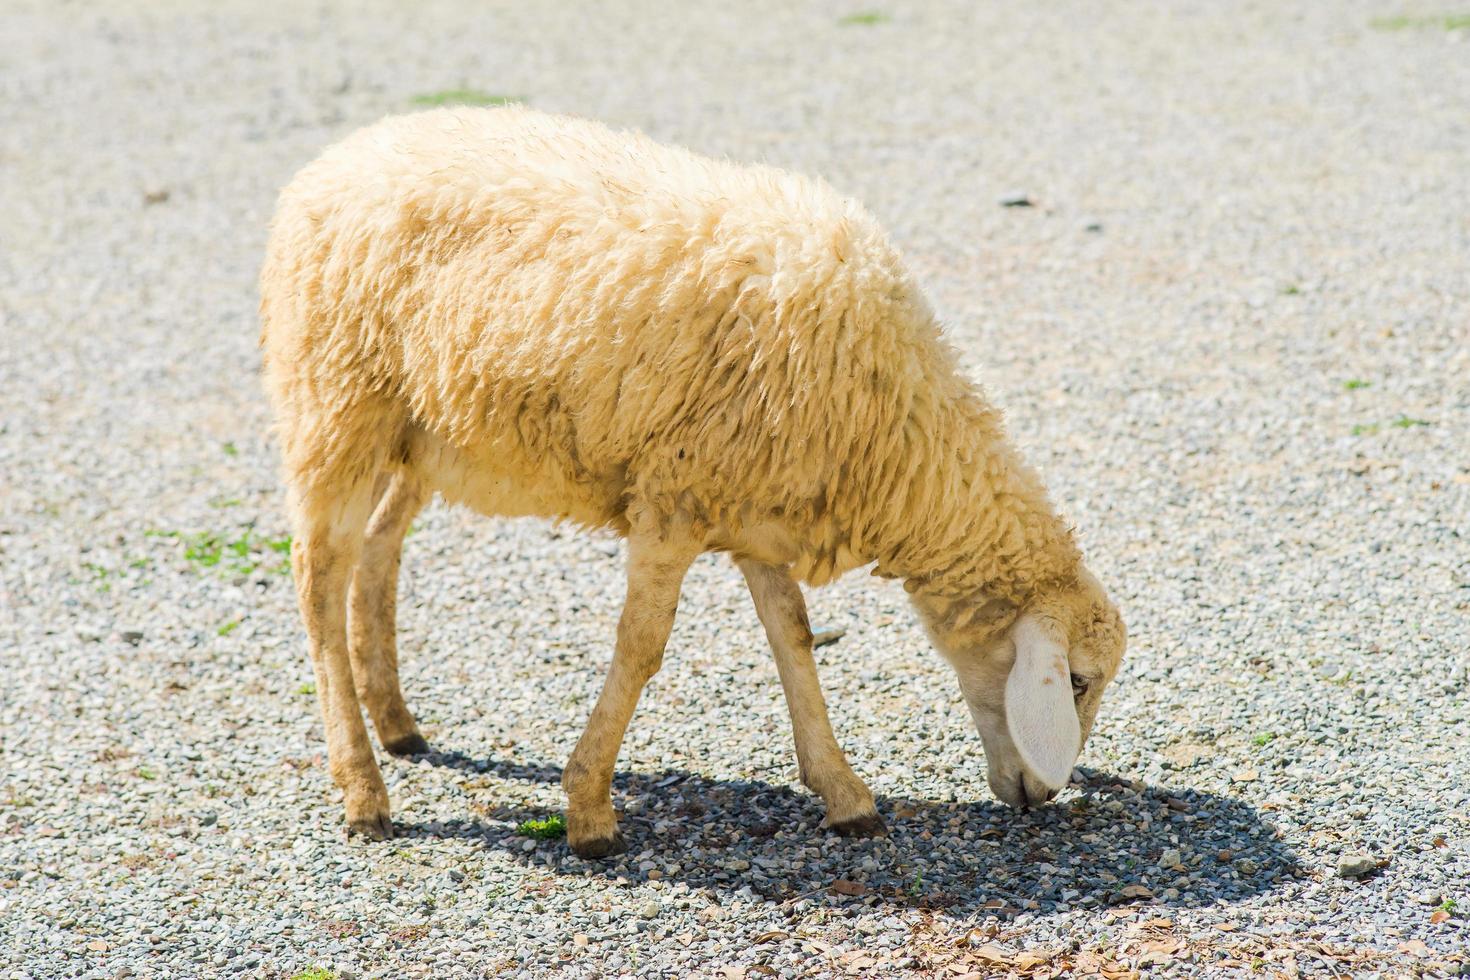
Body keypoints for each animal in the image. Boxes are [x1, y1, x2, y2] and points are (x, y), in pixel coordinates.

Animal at [258, 109, 1123, 858]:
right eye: (1075, 681)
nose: (1044, 796)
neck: (895, 433)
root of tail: (337, 157)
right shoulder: (674, 498)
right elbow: (642, 648)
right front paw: (589, 807)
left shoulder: (755, 508)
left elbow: (793, 639)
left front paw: (843, 792)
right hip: (334, 400)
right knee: (318, 581)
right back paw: (363, 790)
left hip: (421, 433)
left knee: (378, 552)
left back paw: (396, 722)